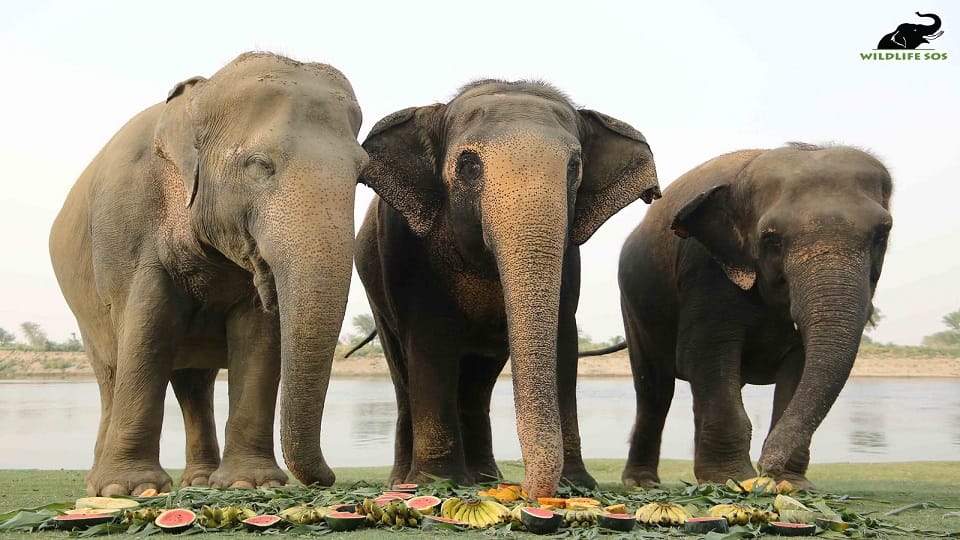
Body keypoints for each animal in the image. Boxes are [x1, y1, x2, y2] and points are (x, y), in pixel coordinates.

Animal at [49, 52, 367, 496]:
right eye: (259, 165)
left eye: (361, 174)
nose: (329, 478)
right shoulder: (126, 226)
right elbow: (146, 328)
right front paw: (130, 490)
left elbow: (259, 336)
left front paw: (249, 484)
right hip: (85, 314)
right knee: (111, 374)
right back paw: (98, 484)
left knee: (194, 384)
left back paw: (199, 480)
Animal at [354, 79, 660, 498]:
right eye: (469, 166)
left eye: (573, 167)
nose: (528, 489)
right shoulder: (408, 252)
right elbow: (430, 341)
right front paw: (438, 483)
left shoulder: (568, 257)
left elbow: (563, 341)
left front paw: (577, 485)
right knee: (403, 375)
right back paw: (404, 483)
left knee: (477, 383)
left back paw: (484, 478)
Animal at [618, 143, 892, 489]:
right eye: (771, 240)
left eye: (882, 235)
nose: (767, 467)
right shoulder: (704, 268)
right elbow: (706, 353)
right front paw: (733, 479)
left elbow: (800, 366)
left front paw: (792, 484)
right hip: (633, 306)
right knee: (655, 389)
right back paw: (642, 483)